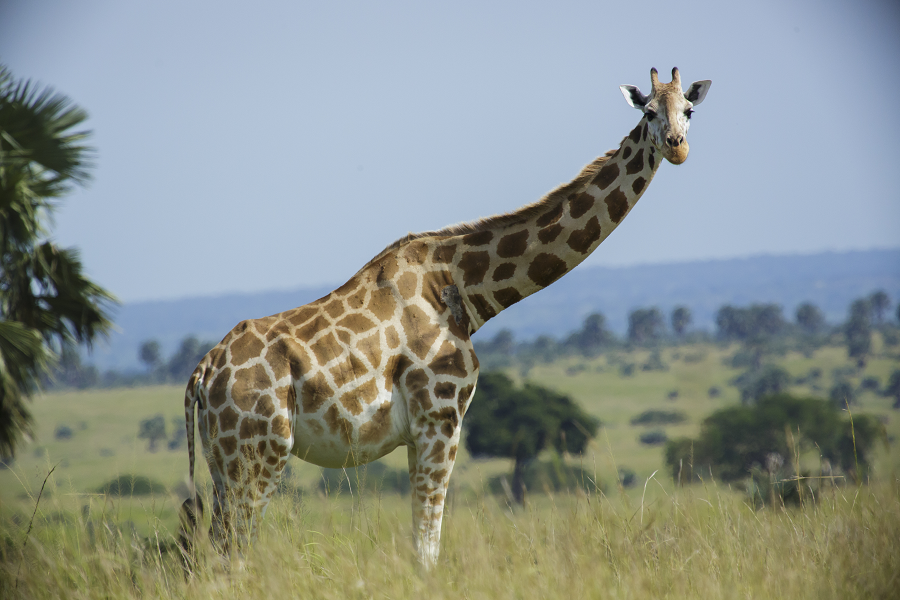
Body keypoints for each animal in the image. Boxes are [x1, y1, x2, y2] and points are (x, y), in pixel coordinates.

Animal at [181, 67, 711, 568]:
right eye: (648, 113)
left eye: (689, 109)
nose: (678, 148)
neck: (465, 288)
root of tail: (201, 375)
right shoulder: (441, 417)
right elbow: (427, 547)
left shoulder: (422, 431)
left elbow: (423, 542)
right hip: (258, 453)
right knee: (232, 552)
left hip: (224, 462)